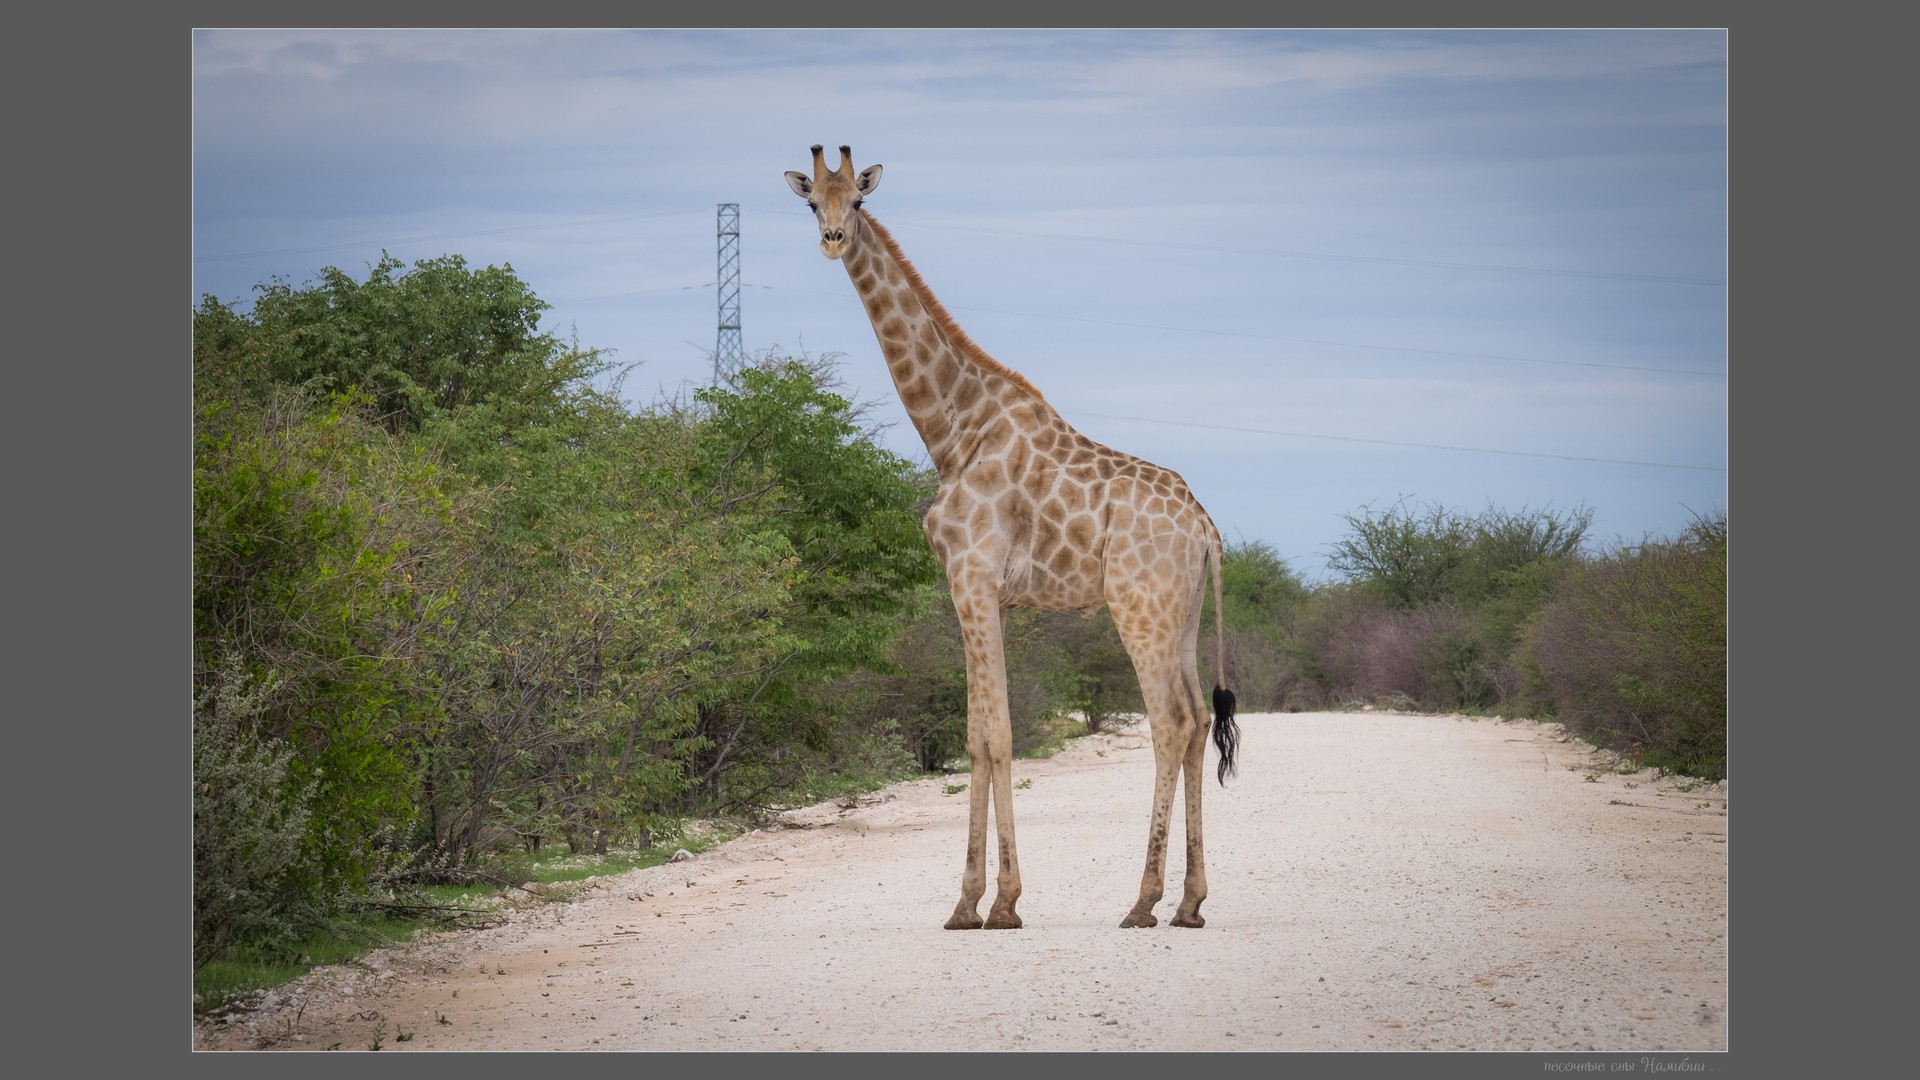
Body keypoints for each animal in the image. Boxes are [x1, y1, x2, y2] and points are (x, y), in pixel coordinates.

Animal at [787, 143, 1236, 926]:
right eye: (813, 201)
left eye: (860, 202)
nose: (834, 239)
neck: (954, 431)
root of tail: (1204, 524)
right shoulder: (984, 594)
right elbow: (977, 735)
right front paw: (978, 901)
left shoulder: (970, 579)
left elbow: (994, 735)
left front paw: (991, 902)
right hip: (1180, 616)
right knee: (1199, 722)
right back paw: (1189, 902)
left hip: (1139, 608)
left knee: (1171, 722)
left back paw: (1143, 900)